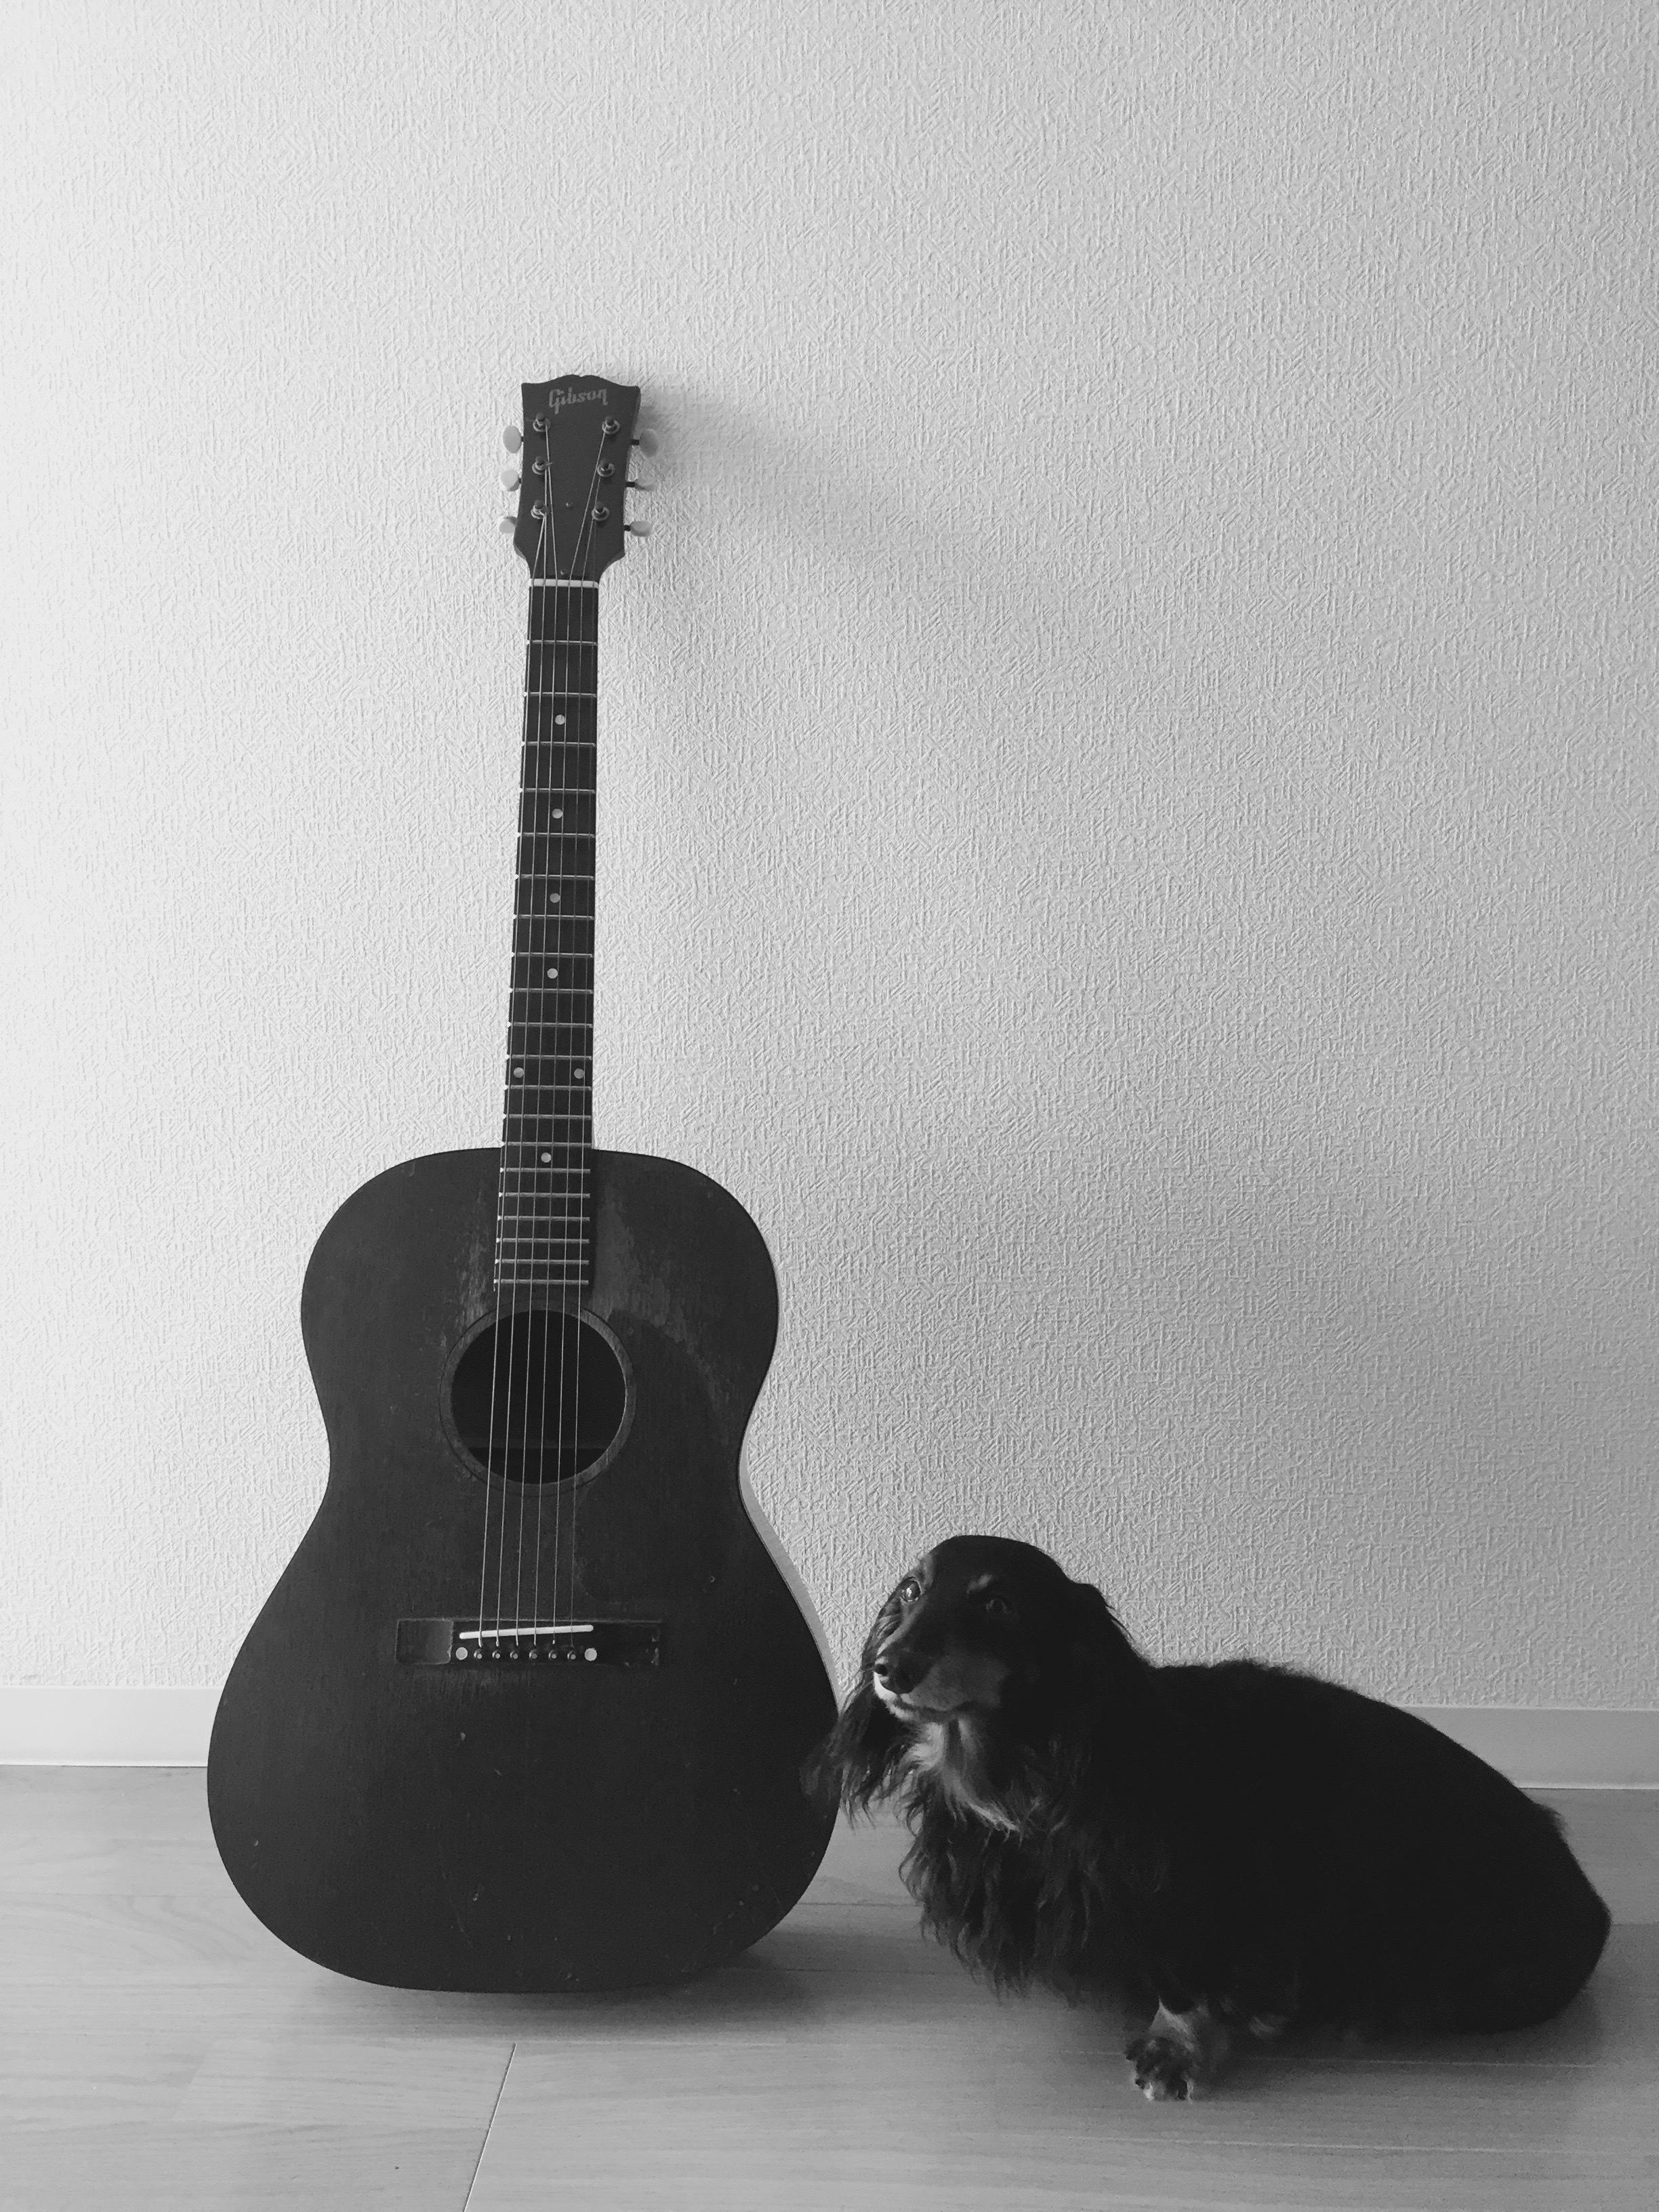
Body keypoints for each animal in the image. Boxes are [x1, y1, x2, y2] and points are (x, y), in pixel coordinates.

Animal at [809, 1534, 1611, 2100]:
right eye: (910, 1591)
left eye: (997, 1605)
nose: (889, 1666)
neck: (1027, 1769)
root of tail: (1593, 1913)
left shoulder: (1199, 1891)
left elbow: (1184, 1969)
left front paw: (1178, 2047)